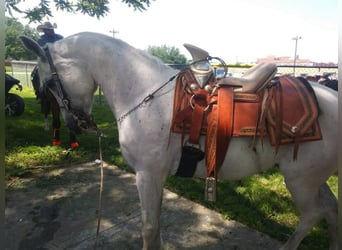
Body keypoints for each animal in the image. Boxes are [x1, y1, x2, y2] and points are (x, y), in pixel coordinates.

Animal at [20, 31, 338, 250]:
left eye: (49, 81)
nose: (76, 123)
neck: (143, 92)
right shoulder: (156, 176)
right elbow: (157, 225)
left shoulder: (147, 175)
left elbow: (149, 228)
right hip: (314, 179)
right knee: (331, 209)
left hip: (300, 180)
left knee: (313, 215)